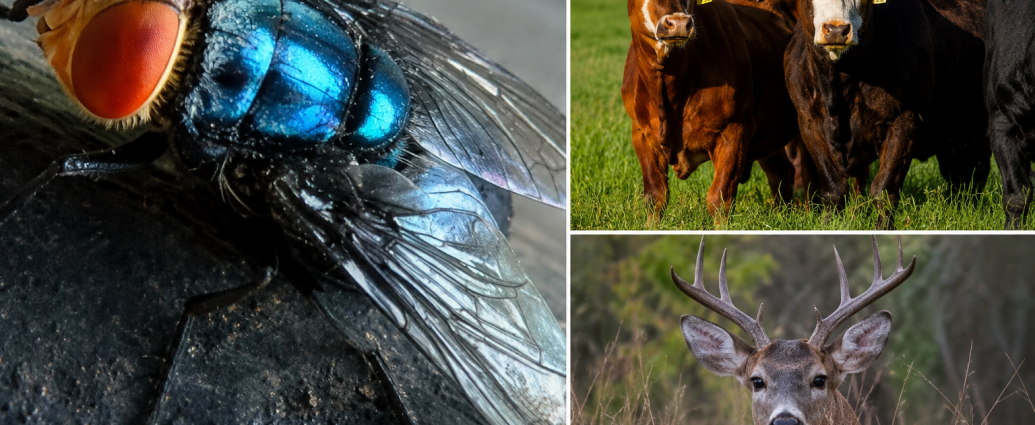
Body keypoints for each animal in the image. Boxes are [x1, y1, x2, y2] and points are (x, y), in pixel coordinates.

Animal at [623, 0, 807, 224]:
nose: (678, 23)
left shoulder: (733, 132)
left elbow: (720, 198)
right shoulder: (641, 134)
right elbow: (655, 196)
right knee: (780, 173)